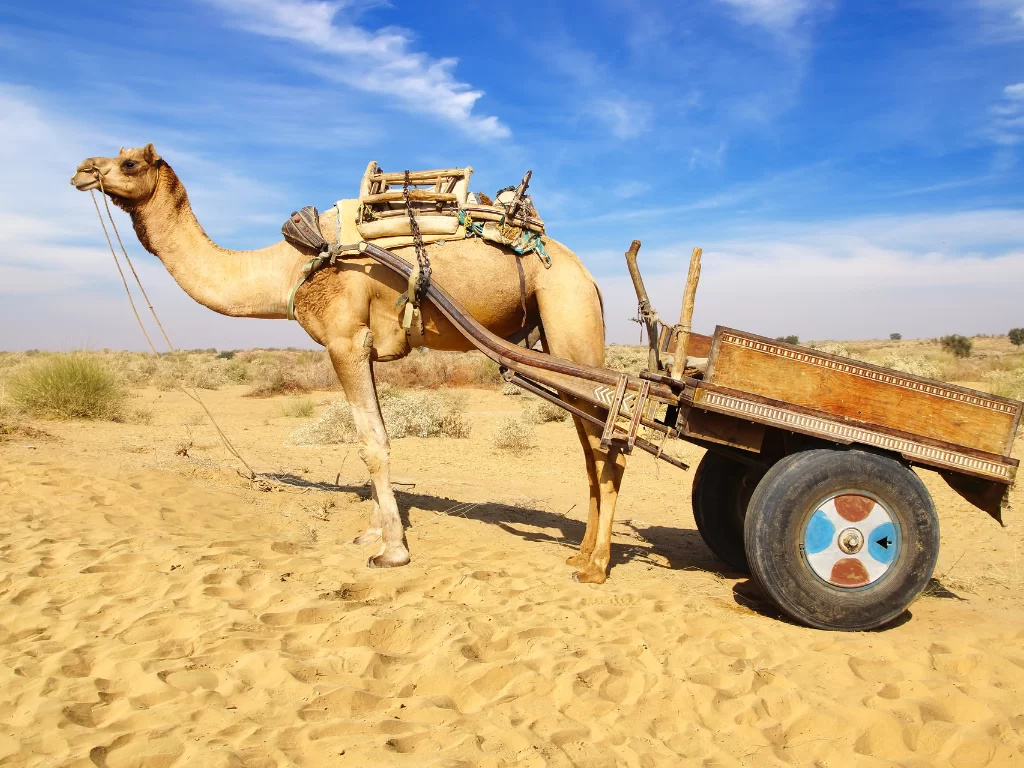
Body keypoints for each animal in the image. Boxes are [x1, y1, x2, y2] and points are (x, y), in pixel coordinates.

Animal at [71, 145, 626, 583]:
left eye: (129, 161)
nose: (82, 169)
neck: (291, 265)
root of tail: (589, 276)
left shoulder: (344, 341)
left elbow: (372, 444)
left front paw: (393, 552)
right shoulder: (366, 349)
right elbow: (374, 437)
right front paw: (372, 533)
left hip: (570, 319)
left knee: (612, 440)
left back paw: (597, 566)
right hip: (554, 340)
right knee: (591, 445)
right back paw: (580, 554)